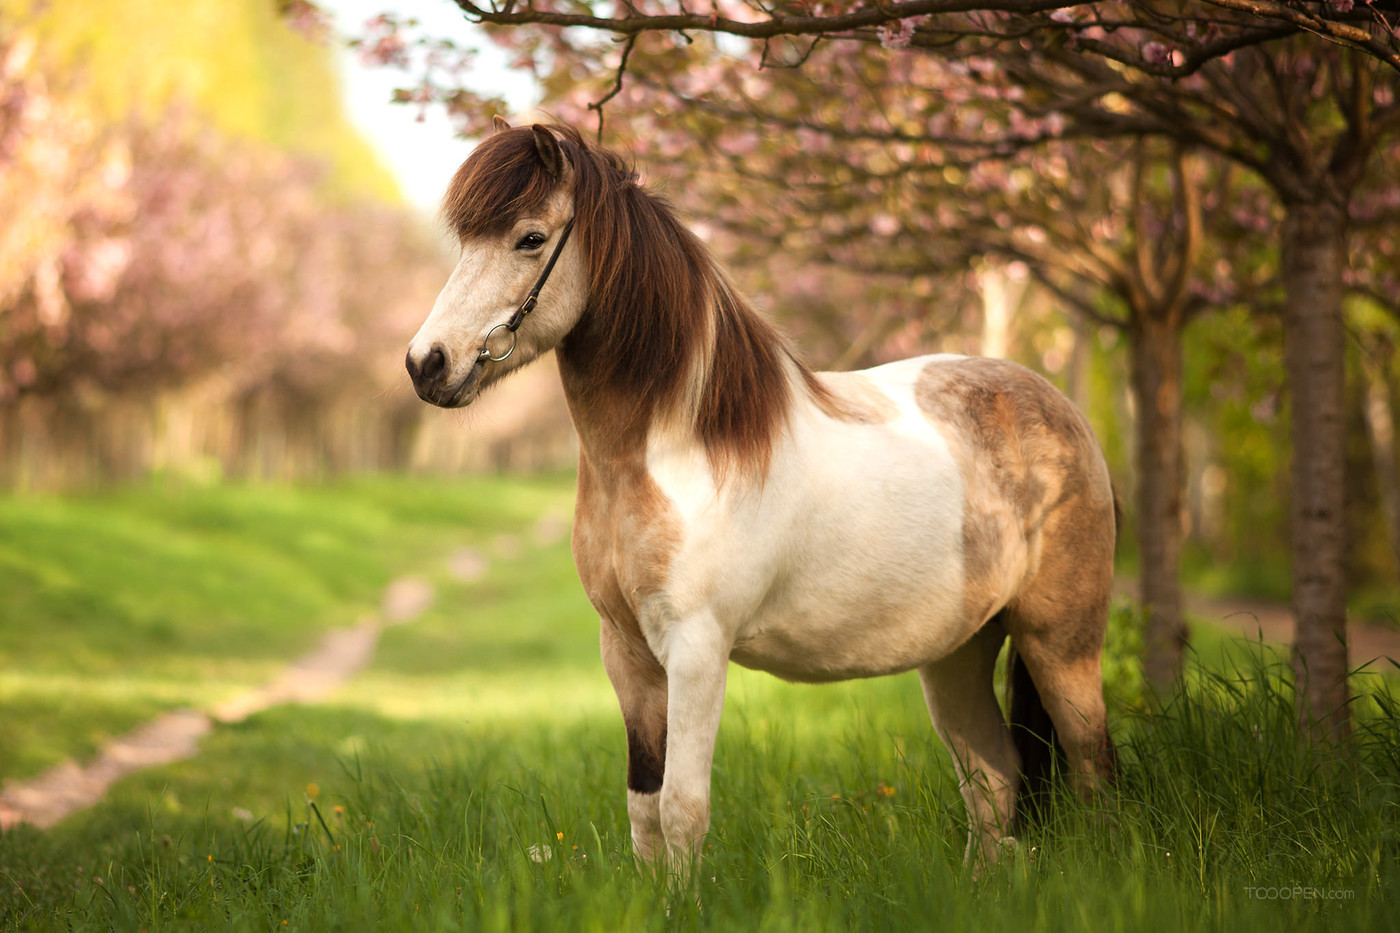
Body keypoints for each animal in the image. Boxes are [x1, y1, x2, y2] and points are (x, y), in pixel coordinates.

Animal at [403, 119, 1114, 868]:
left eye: (530, 238)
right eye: (467, 242)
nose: (427, 364)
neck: (675, 450)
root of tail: (1059, 411)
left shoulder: (696, 650)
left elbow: (683, 810)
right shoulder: (627, 654)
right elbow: (644, 812)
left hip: (1062, 643)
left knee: (1092, 768)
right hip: (959, 651)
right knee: (992, 781)